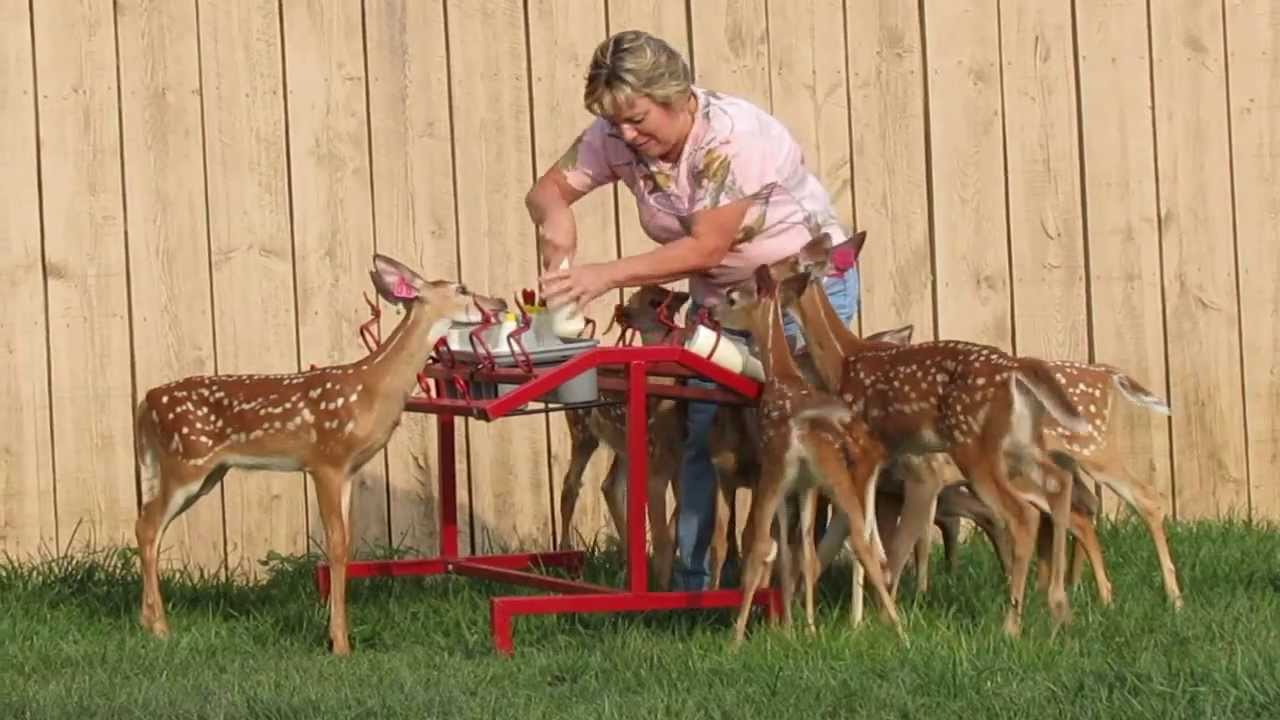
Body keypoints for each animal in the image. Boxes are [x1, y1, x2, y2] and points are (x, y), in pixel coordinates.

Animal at [132, 254, 506, 655]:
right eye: (461, 288)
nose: (500, 302)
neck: (371, 387)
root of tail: (146, 401)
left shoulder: (349, 470)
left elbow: (345, 545)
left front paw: (339, 635)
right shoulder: (325, 459)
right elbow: (336, 545)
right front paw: (340, 643)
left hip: (207, 471)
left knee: (149, 524)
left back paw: (147, 621)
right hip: (186, 461)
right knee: (147, 523)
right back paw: (160, 627)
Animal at [711, 264, 903, 645]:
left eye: (732, 297)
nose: (712, 313)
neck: (782, 375)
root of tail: (803, 429)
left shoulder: (780, 478)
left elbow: (784, 550)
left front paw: (788, 627)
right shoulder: (807, 485)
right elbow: (804, 550)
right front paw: (806, 626)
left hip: (776, 472)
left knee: (758, 544)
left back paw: (735, 639)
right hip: (836, 476)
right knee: (862, 542)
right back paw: (899, 631)